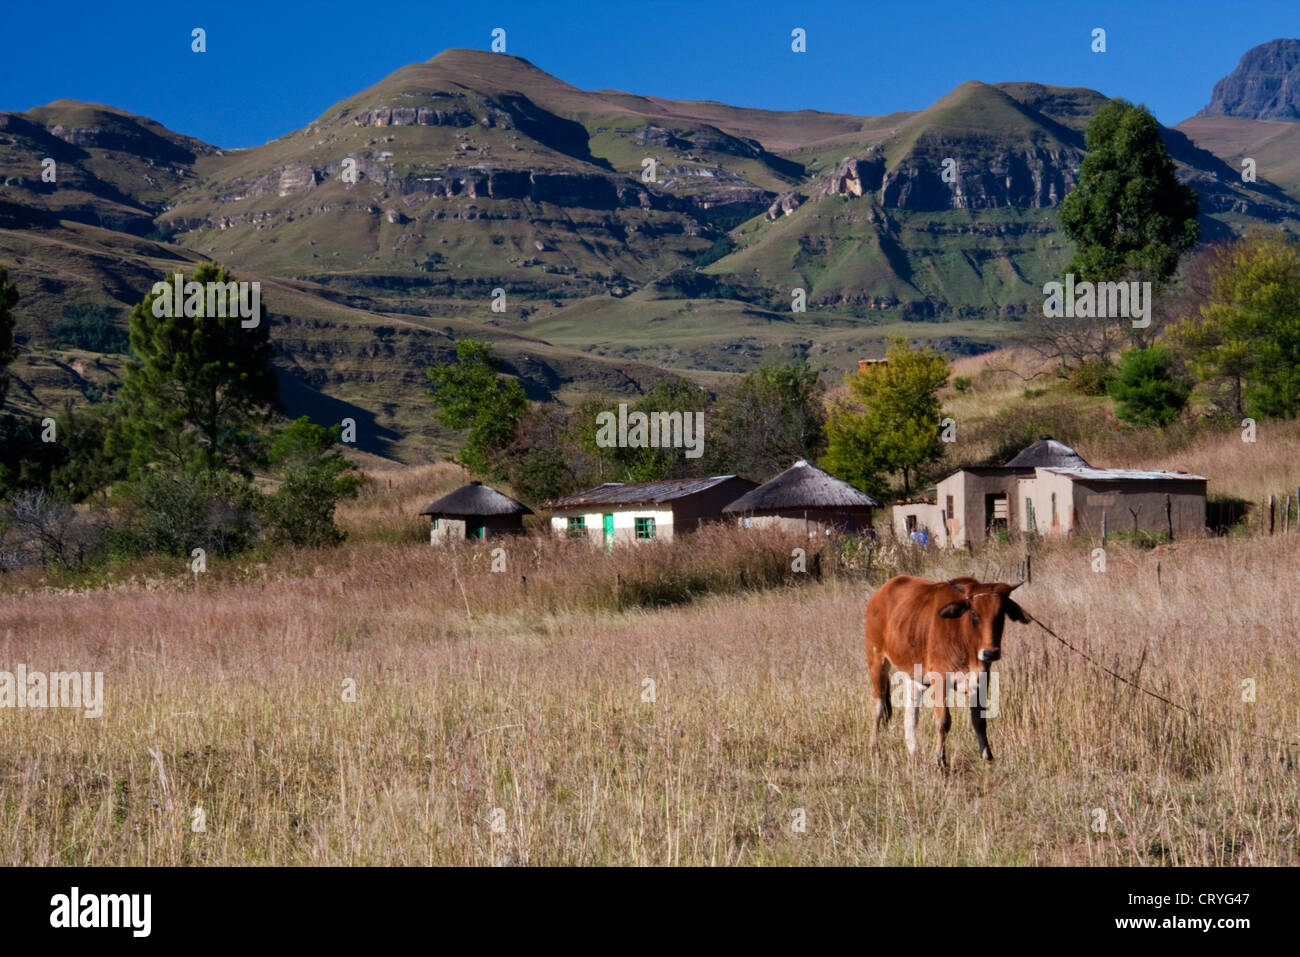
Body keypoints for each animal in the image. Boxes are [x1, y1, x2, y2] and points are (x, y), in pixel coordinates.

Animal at [865, 575, 1030, 767]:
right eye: (974, 614)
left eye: (1001, 615)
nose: (990, 653)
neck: (964, 637)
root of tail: (880, 593)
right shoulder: (941, 680)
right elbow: (943, 721)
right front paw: (940, 758)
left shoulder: (981, 679)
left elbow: (979, 721)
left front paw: (987, 756)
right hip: (876, 662)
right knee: (878, 707)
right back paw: (874, 748)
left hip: (914, 674)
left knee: (910, 714)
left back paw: (914, 752)